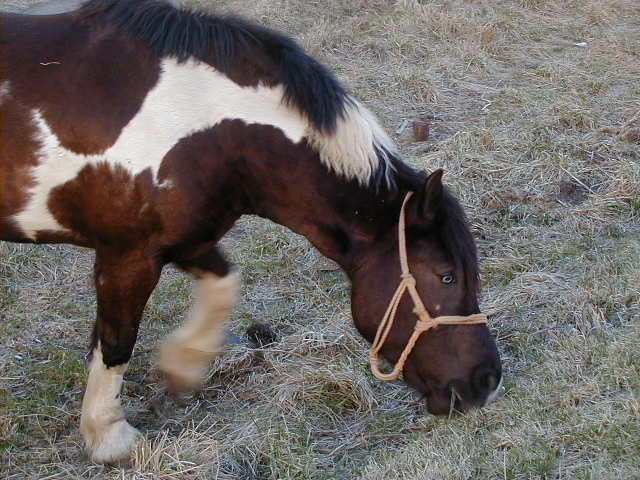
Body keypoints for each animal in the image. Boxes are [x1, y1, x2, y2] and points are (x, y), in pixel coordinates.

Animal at [0, 0, 502, 464]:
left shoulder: (186, 240)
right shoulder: (128, 255)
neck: (205, 128)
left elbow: (224, 286)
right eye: (446, 276)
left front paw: (183, 364)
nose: (487, 380)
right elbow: (116, 341)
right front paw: (109, 435)